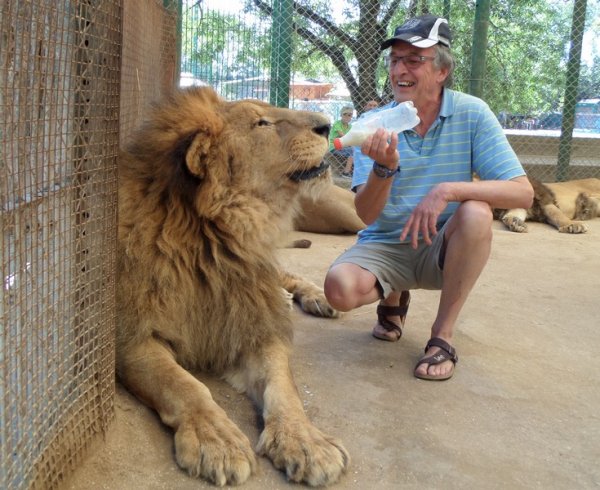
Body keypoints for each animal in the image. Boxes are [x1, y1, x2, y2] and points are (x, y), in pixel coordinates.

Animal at [116, 86, 349, 487]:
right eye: (262, 123)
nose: (326, 124)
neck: (219, 240)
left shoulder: (255, 324)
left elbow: (284, 387)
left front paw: (307, 442)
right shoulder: (130, 336)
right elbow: (182, 384)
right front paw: (217, 440)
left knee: (287, 276)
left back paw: (316, 296)